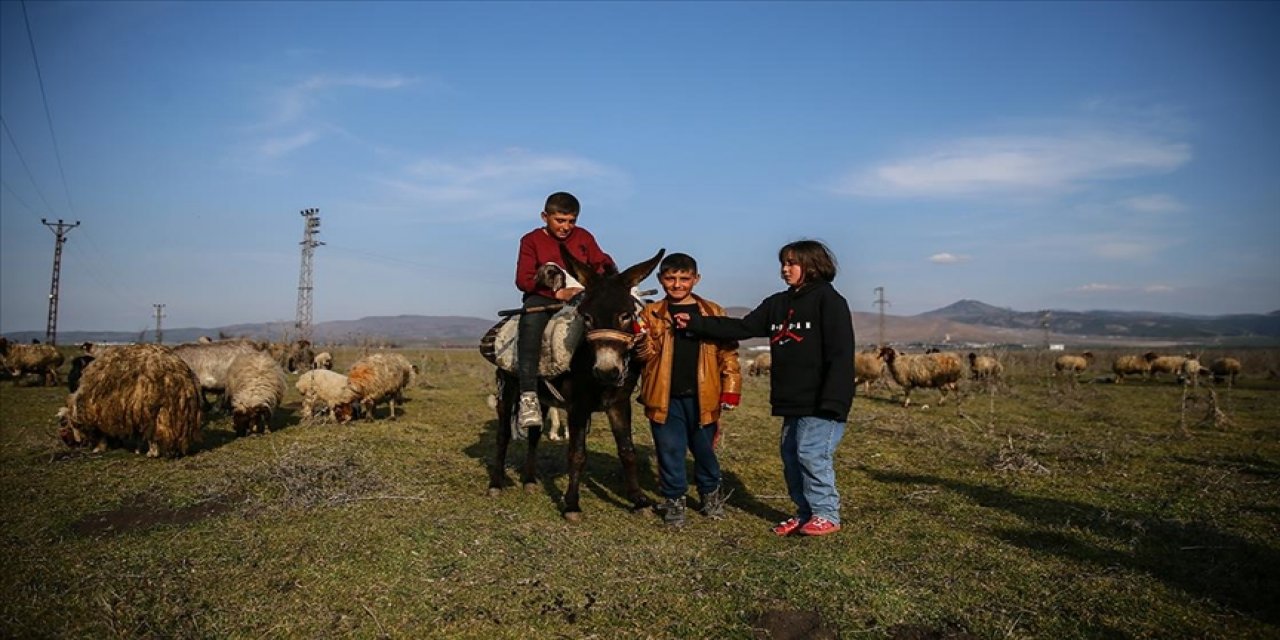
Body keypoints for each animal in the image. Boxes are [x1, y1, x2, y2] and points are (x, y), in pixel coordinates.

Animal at [57, 343, 200, 458]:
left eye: (64, 423)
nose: (70, 444)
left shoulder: (105, 413)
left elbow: (103, 434)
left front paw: (99, 448)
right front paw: (136, 449)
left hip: (152, 411)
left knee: (152, 433)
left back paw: (152, 453)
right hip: (173, 413)